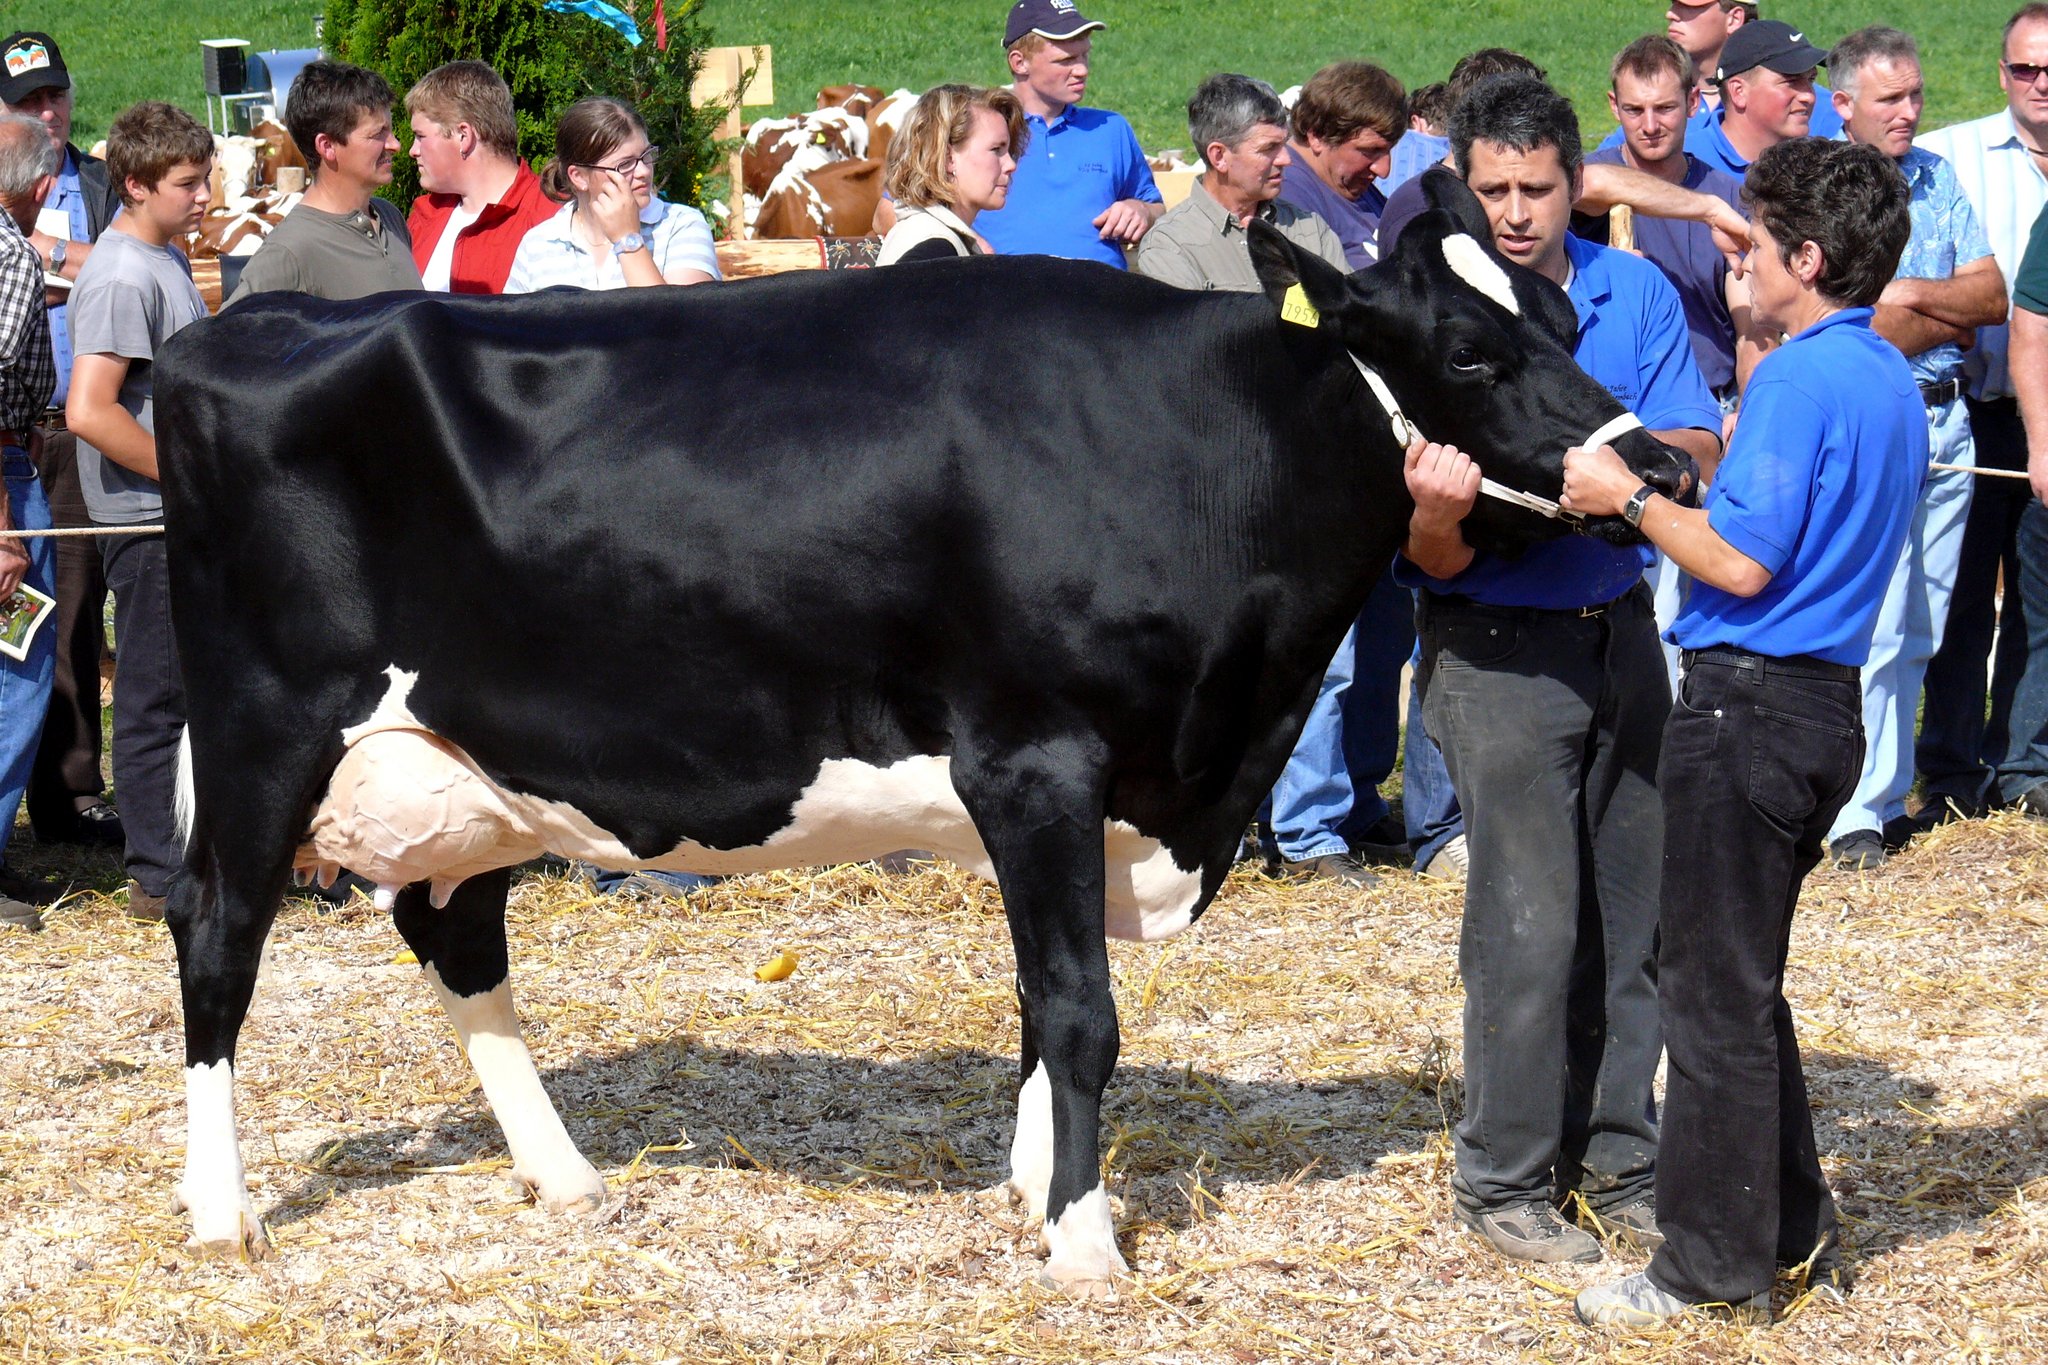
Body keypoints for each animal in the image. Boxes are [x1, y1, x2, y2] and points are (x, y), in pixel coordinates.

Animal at [153, 173, 1692, 1291]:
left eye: (1566, 313)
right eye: (1469, 350)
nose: (1658, 466)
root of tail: (234, 327)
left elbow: (1034, 999)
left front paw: (1033, 1192)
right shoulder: (1036, 758)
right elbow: (1078, 1011)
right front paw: (1082, 1242)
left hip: (474, 760)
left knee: (455, 935)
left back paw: (569, 1176)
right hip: (261, 722)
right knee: (218, 938)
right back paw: (222, 1215)